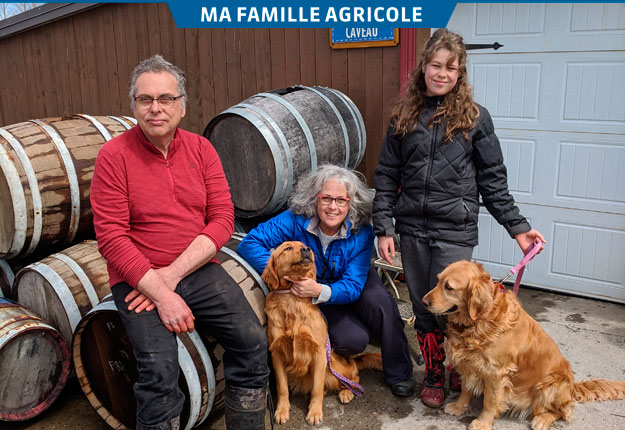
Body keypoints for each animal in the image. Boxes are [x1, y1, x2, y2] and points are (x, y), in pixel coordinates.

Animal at [260, 240, 382, 424]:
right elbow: (282, 388)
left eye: (303, 245)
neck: (291, 299)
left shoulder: (319, 353)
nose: (306, 249)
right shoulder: (277, 354)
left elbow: (317, 387)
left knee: (352, 376)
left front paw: (315, 412)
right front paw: (282, 410)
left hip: (333, 367)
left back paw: (347, 392)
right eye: (287, 248)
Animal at [422, 260, 620, 430]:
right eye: (438, 281)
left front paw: (483, 422)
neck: (480, 321)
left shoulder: (495, 371)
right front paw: (459, 407)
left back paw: (542, 420)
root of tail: (572, 387)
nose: (423, 302)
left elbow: (490, 401)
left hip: (550, 386)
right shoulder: (469, 362)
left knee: (561, 411)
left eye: (449, 287)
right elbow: (465, 388)